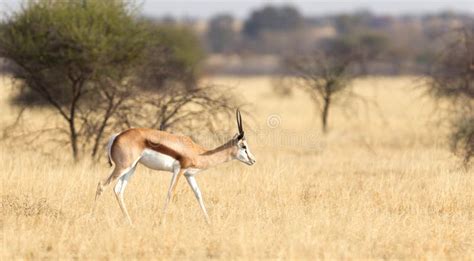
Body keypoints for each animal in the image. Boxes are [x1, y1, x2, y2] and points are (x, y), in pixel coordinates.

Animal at [94, 108, 254, 222]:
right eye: (244, 146)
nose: (253, 160)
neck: (197, 152)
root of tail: (116, 136)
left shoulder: (189, 175)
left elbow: (198, 195)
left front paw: (209, 222)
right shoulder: (179, 170)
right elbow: (170, 193)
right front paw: (161, 222)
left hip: (131, 168)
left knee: (118, 190)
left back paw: (129, 222)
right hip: (123, 167)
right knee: (101, 185)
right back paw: (93, 217)